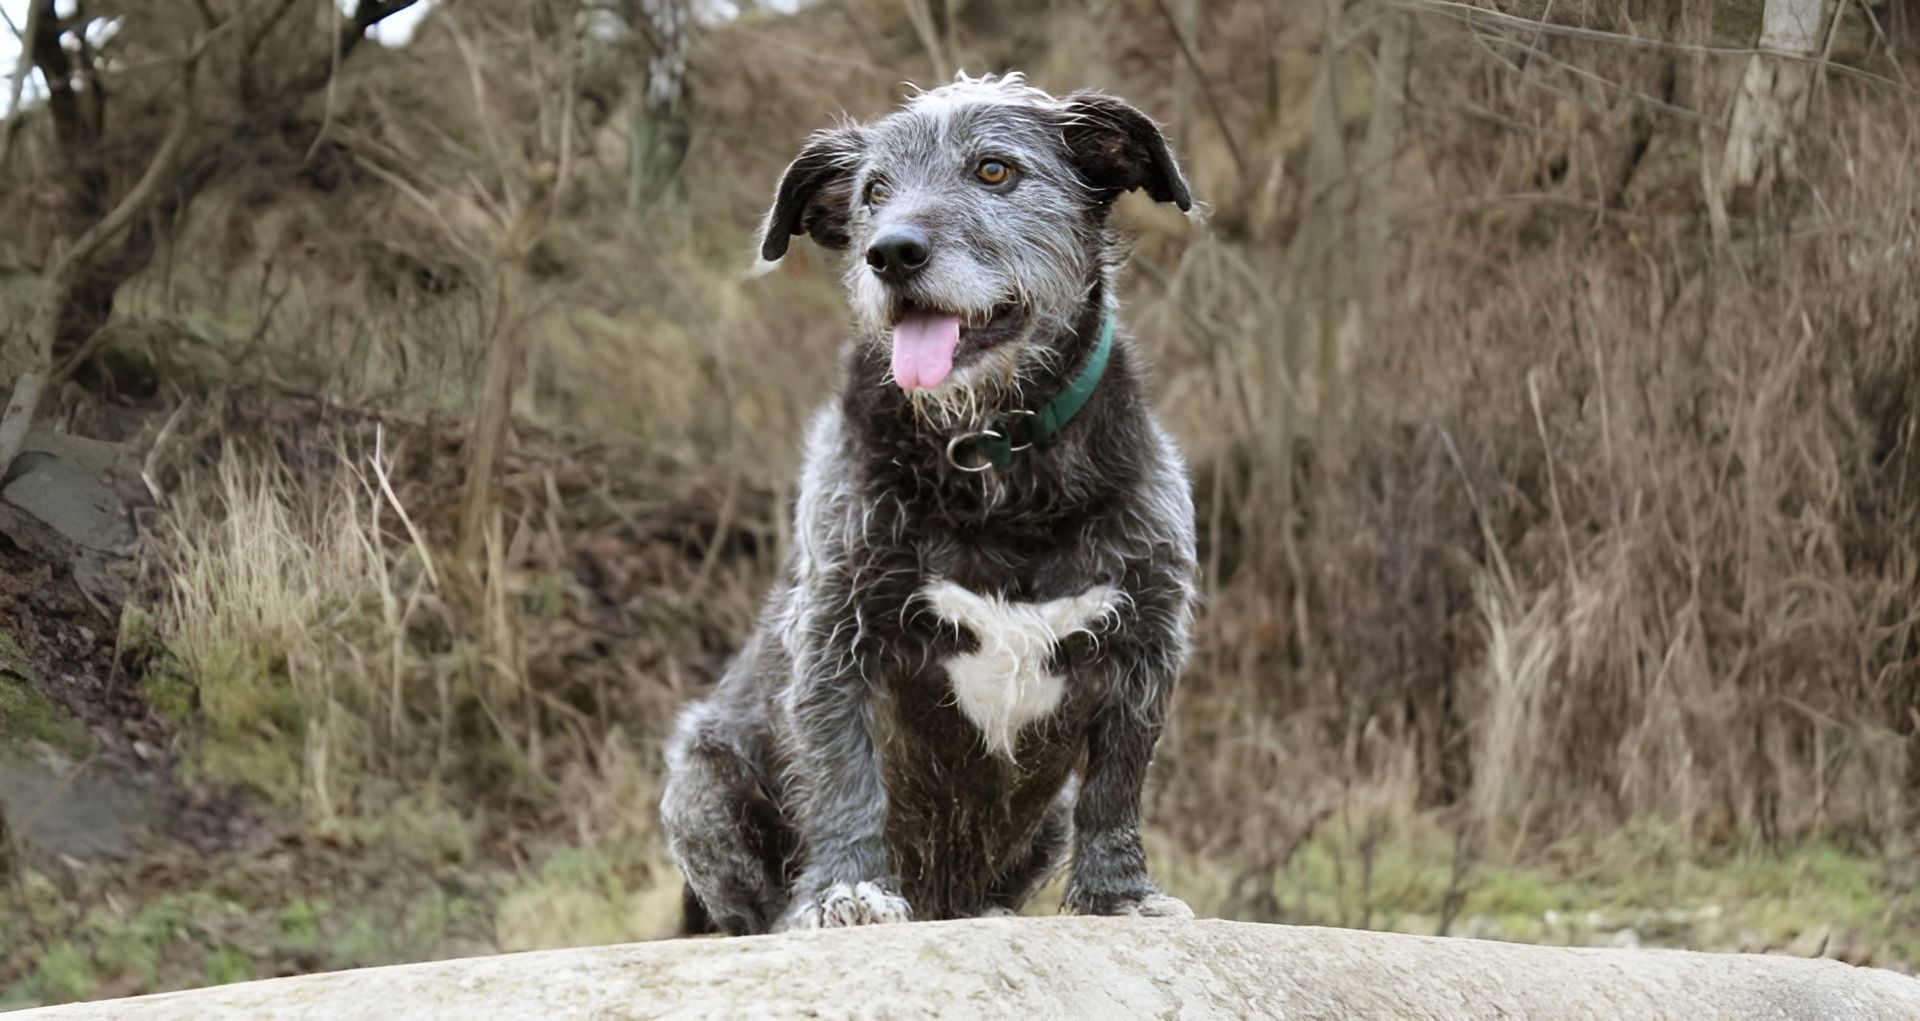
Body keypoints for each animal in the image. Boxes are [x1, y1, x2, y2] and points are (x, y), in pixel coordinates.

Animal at [664, 71, 1198, 932]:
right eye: (874, 191)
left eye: (994, 170)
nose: (890, 252)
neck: (994, 456)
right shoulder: (836, 632)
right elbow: (845, 773)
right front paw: (846, 891)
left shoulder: (1146, 640)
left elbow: (1117, 785)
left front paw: (1118, 896)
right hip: (700, 777)